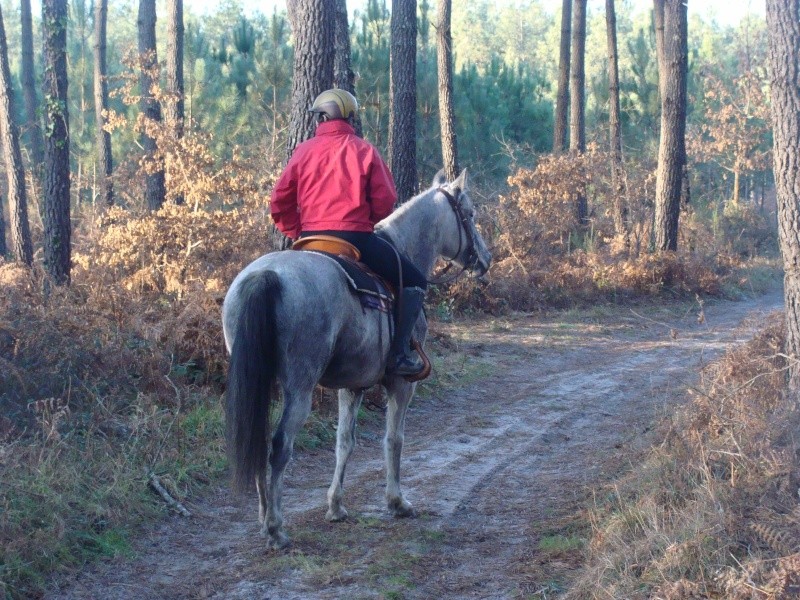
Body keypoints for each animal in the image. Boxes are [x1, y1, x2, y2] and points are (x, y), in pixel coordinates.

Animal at [222, 169, 490, 548]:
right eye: (469, 213)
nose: (485, 259)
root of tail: (267, 275)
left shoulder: (352, 386)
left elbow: (344, 443)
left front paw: (336, 507)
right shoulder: (401, 384)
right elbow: (393, 440)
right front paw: (397, 502)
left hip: (262, 381)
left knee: (260, 442)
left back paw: (263, 518)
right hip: (299, 387)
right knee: (280, 446)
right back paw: (275, 528)